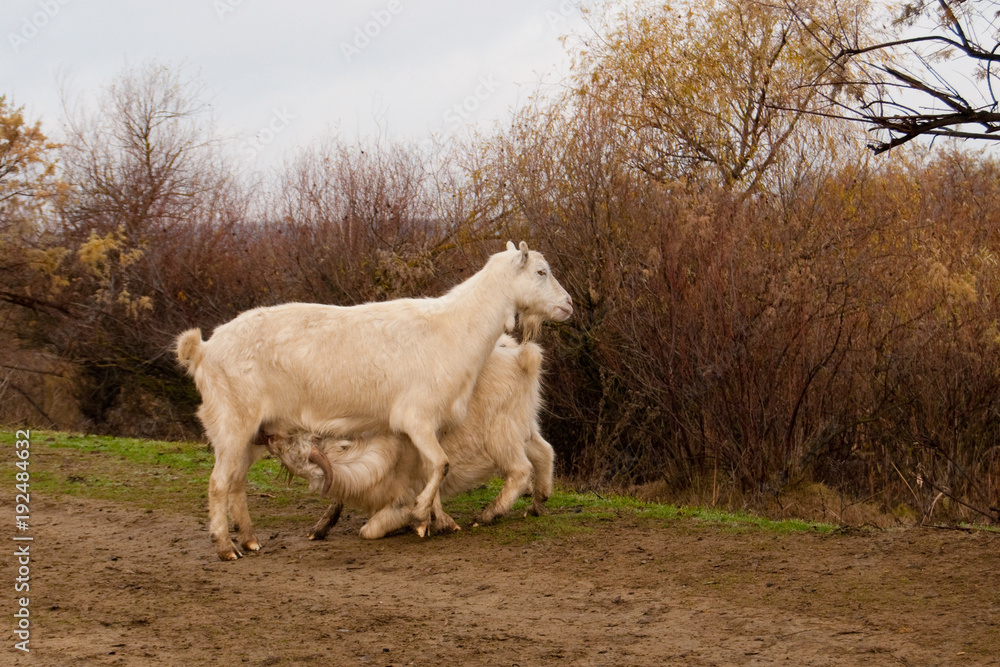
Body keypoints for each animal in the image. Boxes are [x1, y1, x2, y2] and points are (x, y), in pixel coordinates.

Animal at [263, 335, 555, 539]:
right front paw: (318, 529)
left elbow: (370, 529)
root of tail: (520, 356)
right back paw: (537, 504)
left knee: (520, 470)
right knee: (544, 452)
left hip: (500, 435)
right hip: (524, 425)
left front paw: (427, 523)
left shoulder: (404, 494)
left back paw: (487, 515)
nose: (268, 435)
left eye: (301, 447)